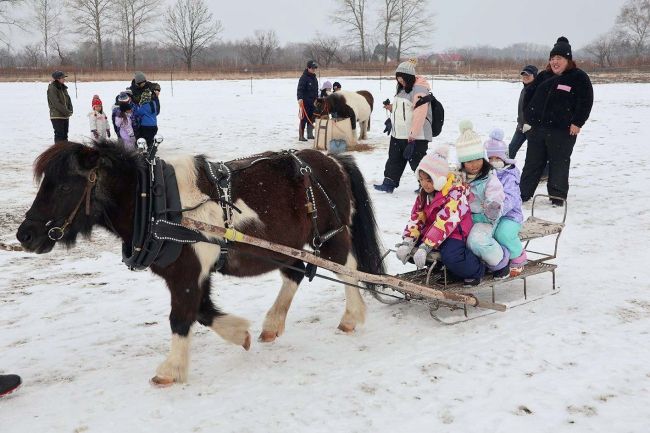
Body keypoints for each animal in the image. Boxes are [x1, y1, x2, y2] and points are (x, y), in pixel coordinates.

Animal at [15, 141, 382, 384]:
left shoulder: (186, 274)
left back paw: (351, 317)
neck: (156, 204)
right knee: (295, 274)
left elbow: (181, 317)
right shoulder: (192, 274)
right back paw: (273, 324)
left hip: (332, 234)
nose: (25, 234)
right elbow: (203, 312)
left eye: (64, 186)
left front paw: (170, 370)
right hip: (288, 246)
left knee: (347, 269)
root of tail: (331, 158)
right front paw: (240, 333)